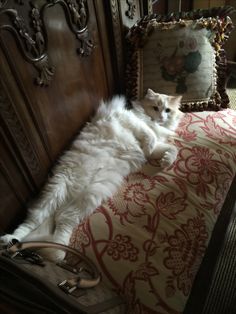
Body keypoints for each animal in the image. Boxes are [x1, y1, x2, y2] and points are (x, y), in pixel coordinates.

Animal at [0, 88, 183, 260]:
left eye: (167, 110)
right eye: (155, 108)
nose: (161, 117)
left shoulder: (157, 144)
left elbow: (171, 149)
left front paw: (165, 161)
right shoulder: (129, 118)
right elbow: (149, 134)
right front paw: (151, 147)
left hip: (88, 198)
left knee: (63, 223)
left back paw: (57, 250)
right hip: (54, 193)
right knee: (29, 223)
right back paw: (10, 241)